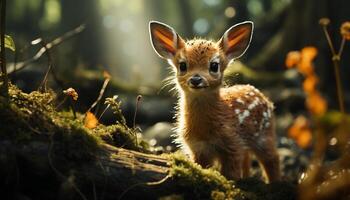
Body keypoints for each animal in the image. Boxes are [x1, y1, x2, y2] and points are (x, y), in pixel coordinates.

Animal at [149, 20, 280, 183]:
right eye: (182, 65)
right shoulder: (198, 149)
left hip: (264, 135)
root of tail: (266, 100)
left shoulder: (233, 144)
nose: (196, 79)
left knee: (272, 158)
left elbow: (231, 174)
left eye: (214, 65)